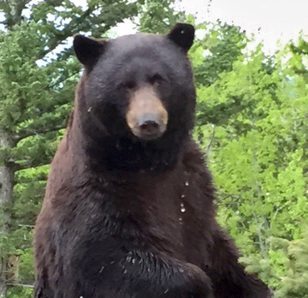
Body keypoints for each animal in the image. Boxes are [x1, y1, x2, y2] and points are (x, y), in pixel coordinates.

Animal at [33, 23, 272, 298]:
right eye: (125, 85)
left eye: (159, 78)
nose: (148, 122)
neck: (145, 159)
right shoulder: (94, 191)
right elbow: (106, 257)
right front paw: (198, 284)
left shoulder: (194, 188)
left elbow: (224, 255)